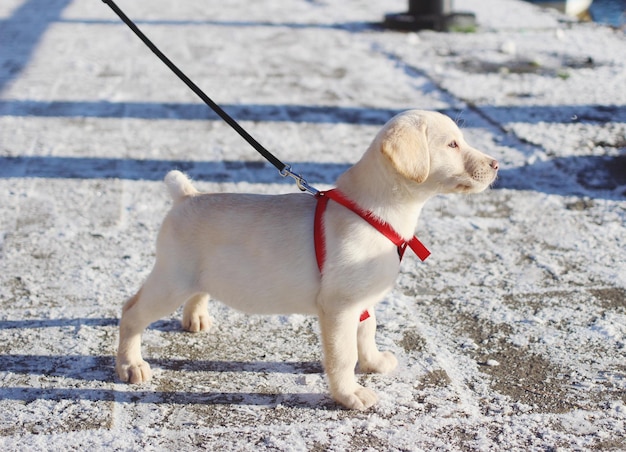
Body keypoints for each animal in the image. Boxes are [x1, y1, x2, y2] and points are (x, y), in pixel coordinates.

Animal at [116, 109, 498, 410]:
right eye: (452, 145)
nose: (496, 165)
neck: (375, 212)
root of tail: (186, 196)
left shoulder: (362, 301)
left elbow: (367, 333)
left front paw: (374, 363)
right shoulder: (339, 307)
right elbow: (344, 356)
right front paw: (351, 395)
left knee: (197, 291)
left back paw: (195, 318)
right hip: (171, 281)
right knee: (131, 312)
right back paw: (130, 365)